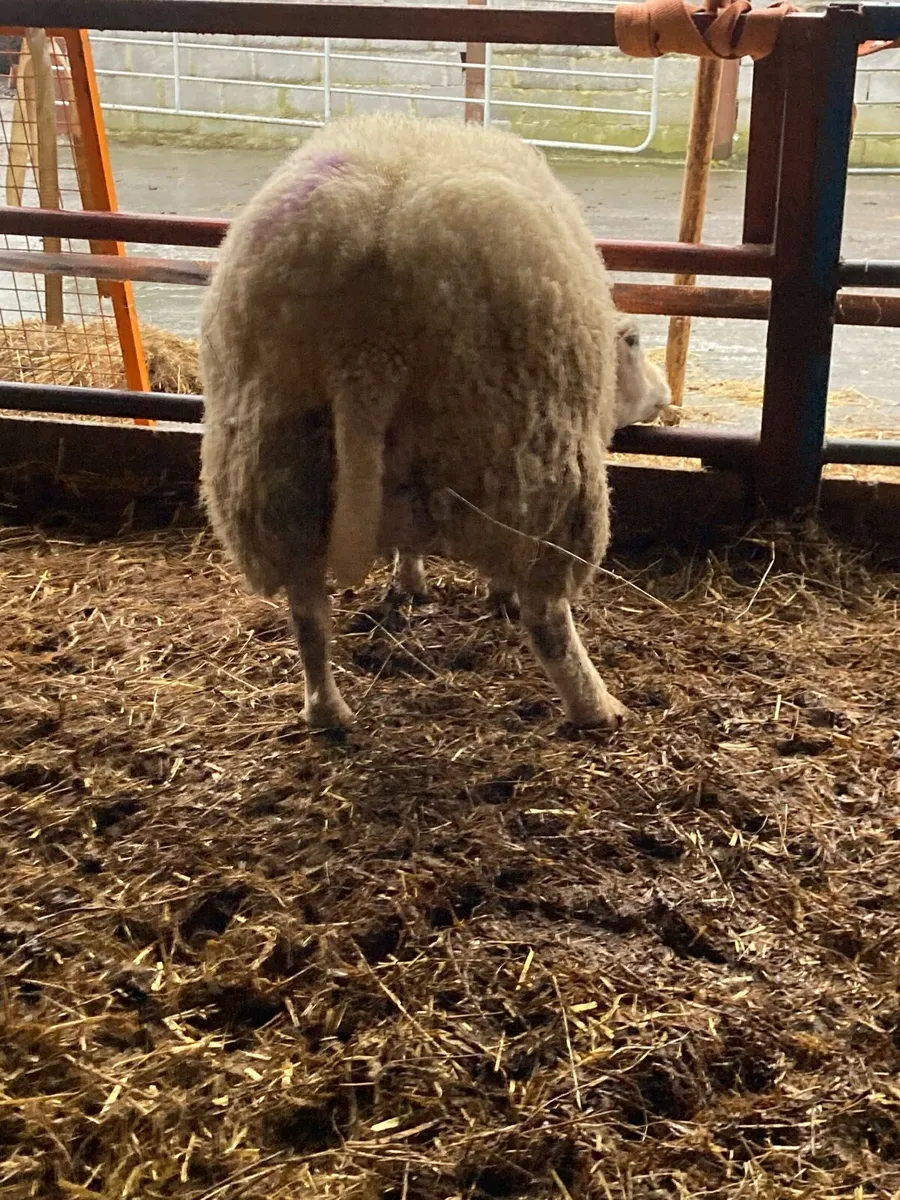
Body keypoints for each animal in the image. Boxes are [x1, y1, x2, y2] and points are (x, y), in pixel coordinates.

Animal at [199, 112, 671, 732]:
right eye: (634, 342)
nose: (665, 394)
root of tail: (368, 344)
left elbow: (408, 546)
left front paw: (410, 582)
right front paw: (496, 596)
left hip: (274, 475)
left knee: (306, 611)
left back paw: (328, 712)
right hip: (536, 464)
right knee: (547, 614)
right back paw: (597, 708)